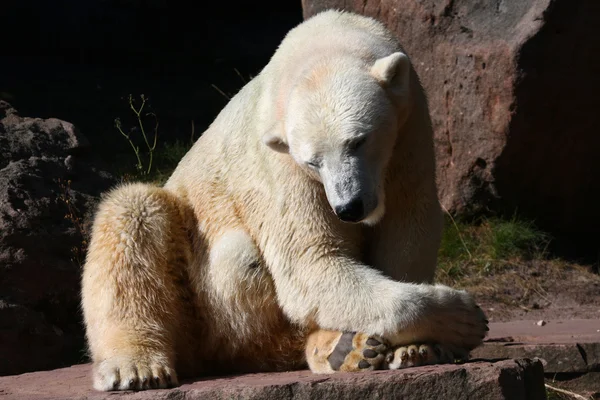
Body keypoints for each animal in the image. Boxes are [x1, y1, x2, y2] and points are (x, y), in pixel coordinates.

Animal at [82, 8, 488, 390]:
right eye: (313, 161)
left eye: (359, 141)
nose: (349, 208)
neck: (325, 41)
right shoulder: (282, 167)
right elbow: (311, 260)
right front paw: (463, 317)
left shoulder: (410, 131)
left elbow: (406, 230)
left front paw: (419, 347)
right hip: (199, 288)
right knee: (136, 216)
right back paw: (136, 366)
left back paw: (346, 348)